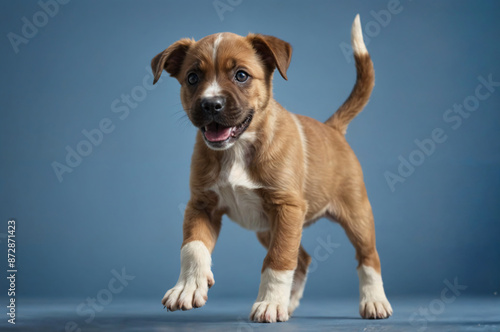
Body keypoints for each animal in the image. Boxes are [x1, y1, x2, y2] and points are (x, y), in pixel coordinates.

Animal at [150, 14, 392, 322]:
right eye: (192, 78)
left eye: (241, 75)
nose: (211, 104)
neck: (238, 148)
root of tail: (332, 128)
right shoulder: (201, 204)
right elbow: (192, 247)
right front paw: (189, 287)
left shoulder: (286, 208)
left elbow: (278, 259)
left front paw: (269, 303)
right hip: (267, 228)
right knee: (303, 259)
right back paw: (290, 301)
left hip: (356, 214)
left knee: (368, 256)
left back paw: (374, 301)